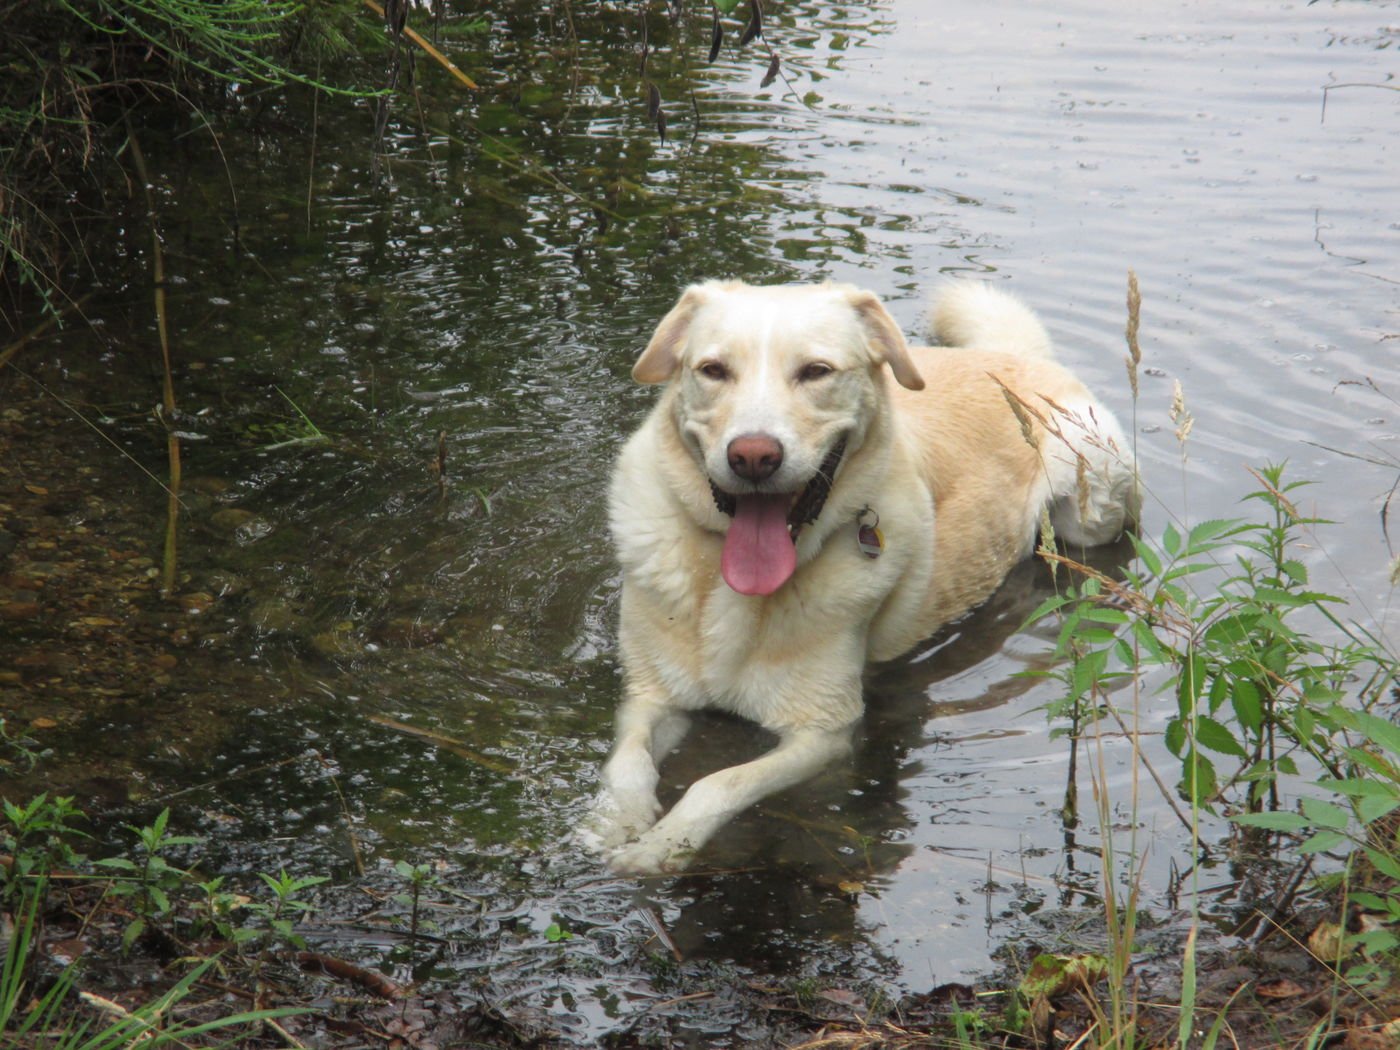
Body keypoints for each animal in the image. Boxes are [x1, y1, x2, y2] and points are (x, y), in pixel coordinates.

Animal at [590, 281, 1136, 879]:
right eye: (713, 370)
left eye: (816, 371)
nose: (753, 456)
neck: (727, 581)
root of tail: (1013, 356)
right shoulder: (650, 693)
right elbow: (627, 760)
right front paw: (611, 822)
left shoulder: (823, 732)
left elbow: (719, 783)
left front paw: (661, 845)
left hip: (1093, 505)